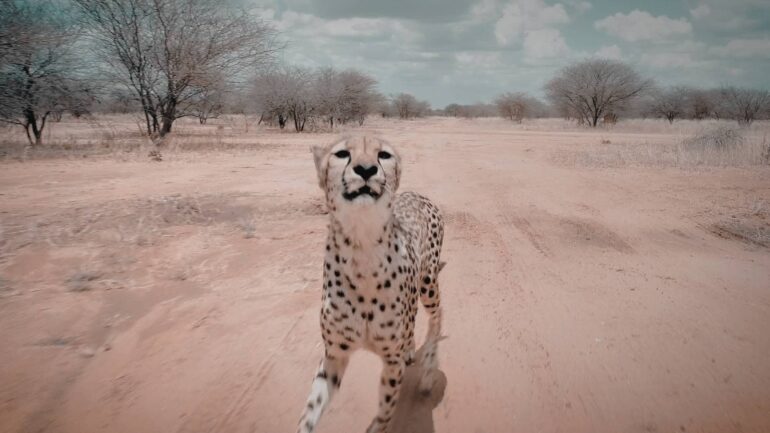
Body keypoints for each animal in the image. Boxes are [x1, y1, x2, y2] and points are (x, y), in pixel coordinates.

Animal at [298, 136, 444, 432]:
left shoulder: (391, 362)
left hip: (428, 283)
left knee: (437, 318)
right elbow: (310, 411)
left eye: (383, 155)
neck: (361, 247)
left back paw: (427, 370)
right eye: (341, 153)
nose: (366, 169)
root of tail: (419, 195)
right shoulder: (335, 355)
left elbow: (385, 412)